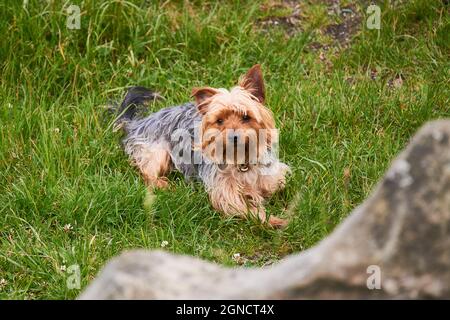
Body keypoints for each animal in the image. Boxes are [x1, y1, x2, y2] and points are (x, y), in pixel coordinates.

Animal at [116, 64, 290, 228]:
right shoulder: (225, 193)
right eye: (219, 121)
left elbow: (276, 185)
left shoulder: (273, 176)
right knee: (147, 173)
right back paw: (162, 183)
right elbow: (247, 209)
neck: (240, 159)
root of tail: (137, 123)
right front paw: (274, 221)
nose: (233, 137)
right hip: (157, 151)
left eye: (246, 117)